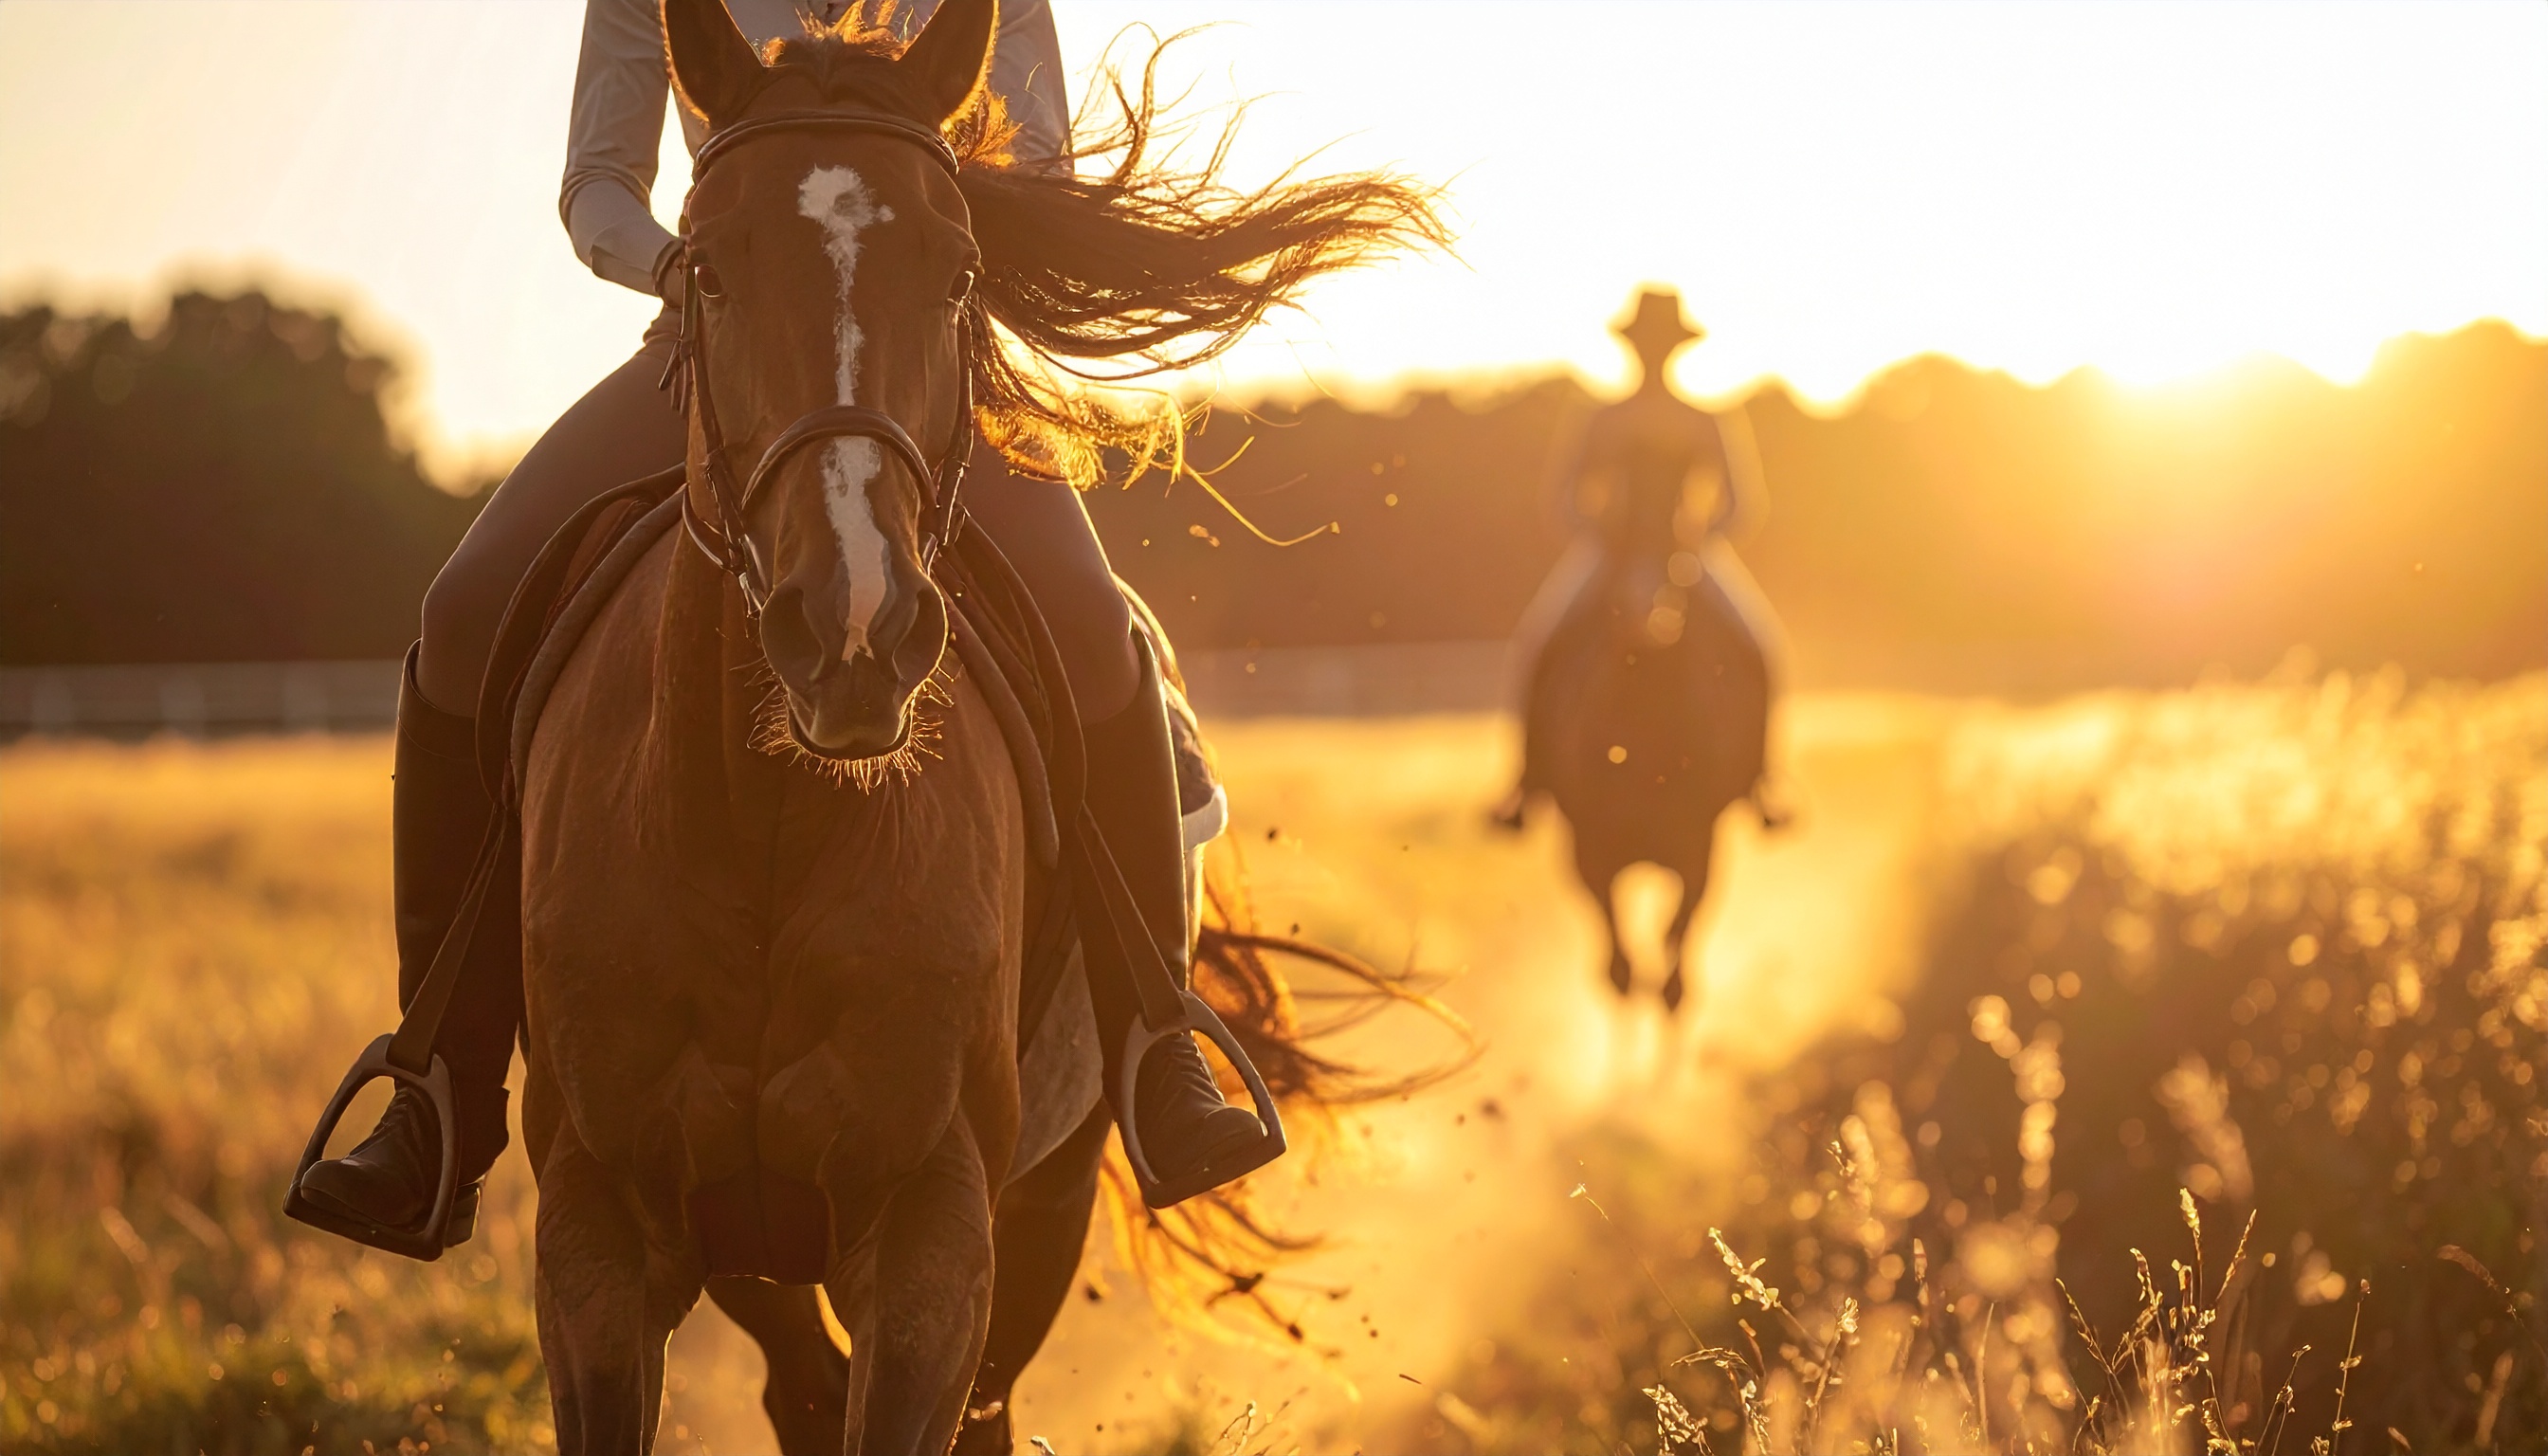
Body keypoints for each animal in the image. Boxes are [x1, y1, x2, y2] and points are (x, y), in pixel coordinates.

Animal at [1536, 539, 1770, 1014]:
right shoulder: (1588, 851)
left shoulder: (1699, 849)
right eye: (1619, 580)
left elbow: (1673, 946)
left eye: (1681, 570)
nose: (1657, 620)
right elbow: (1620, 964)